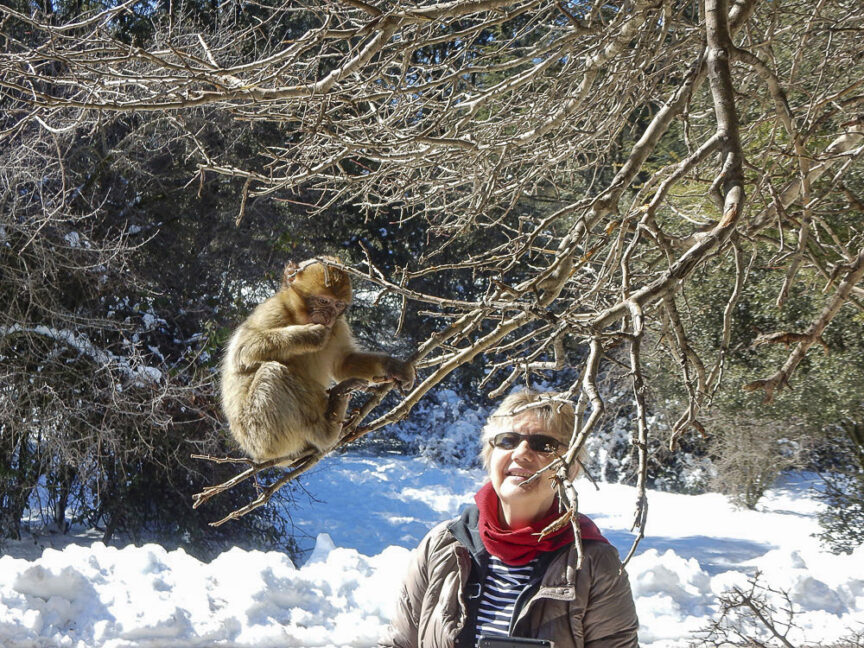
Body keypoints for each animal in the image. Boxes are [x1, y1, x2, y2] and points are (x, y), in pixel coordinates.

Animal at [220, 258, 415, 463]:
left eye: (337, 305)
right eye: (323, 301)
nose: (328, 316)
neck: (299, 318)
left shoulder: (338, 326)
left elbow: (343, 364)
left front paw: (394, 367)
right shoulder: (273, 311)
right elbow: (242, 353)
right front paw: (309, 336)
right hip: (260, 436)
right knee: (272, 372)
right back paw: (327, 430)